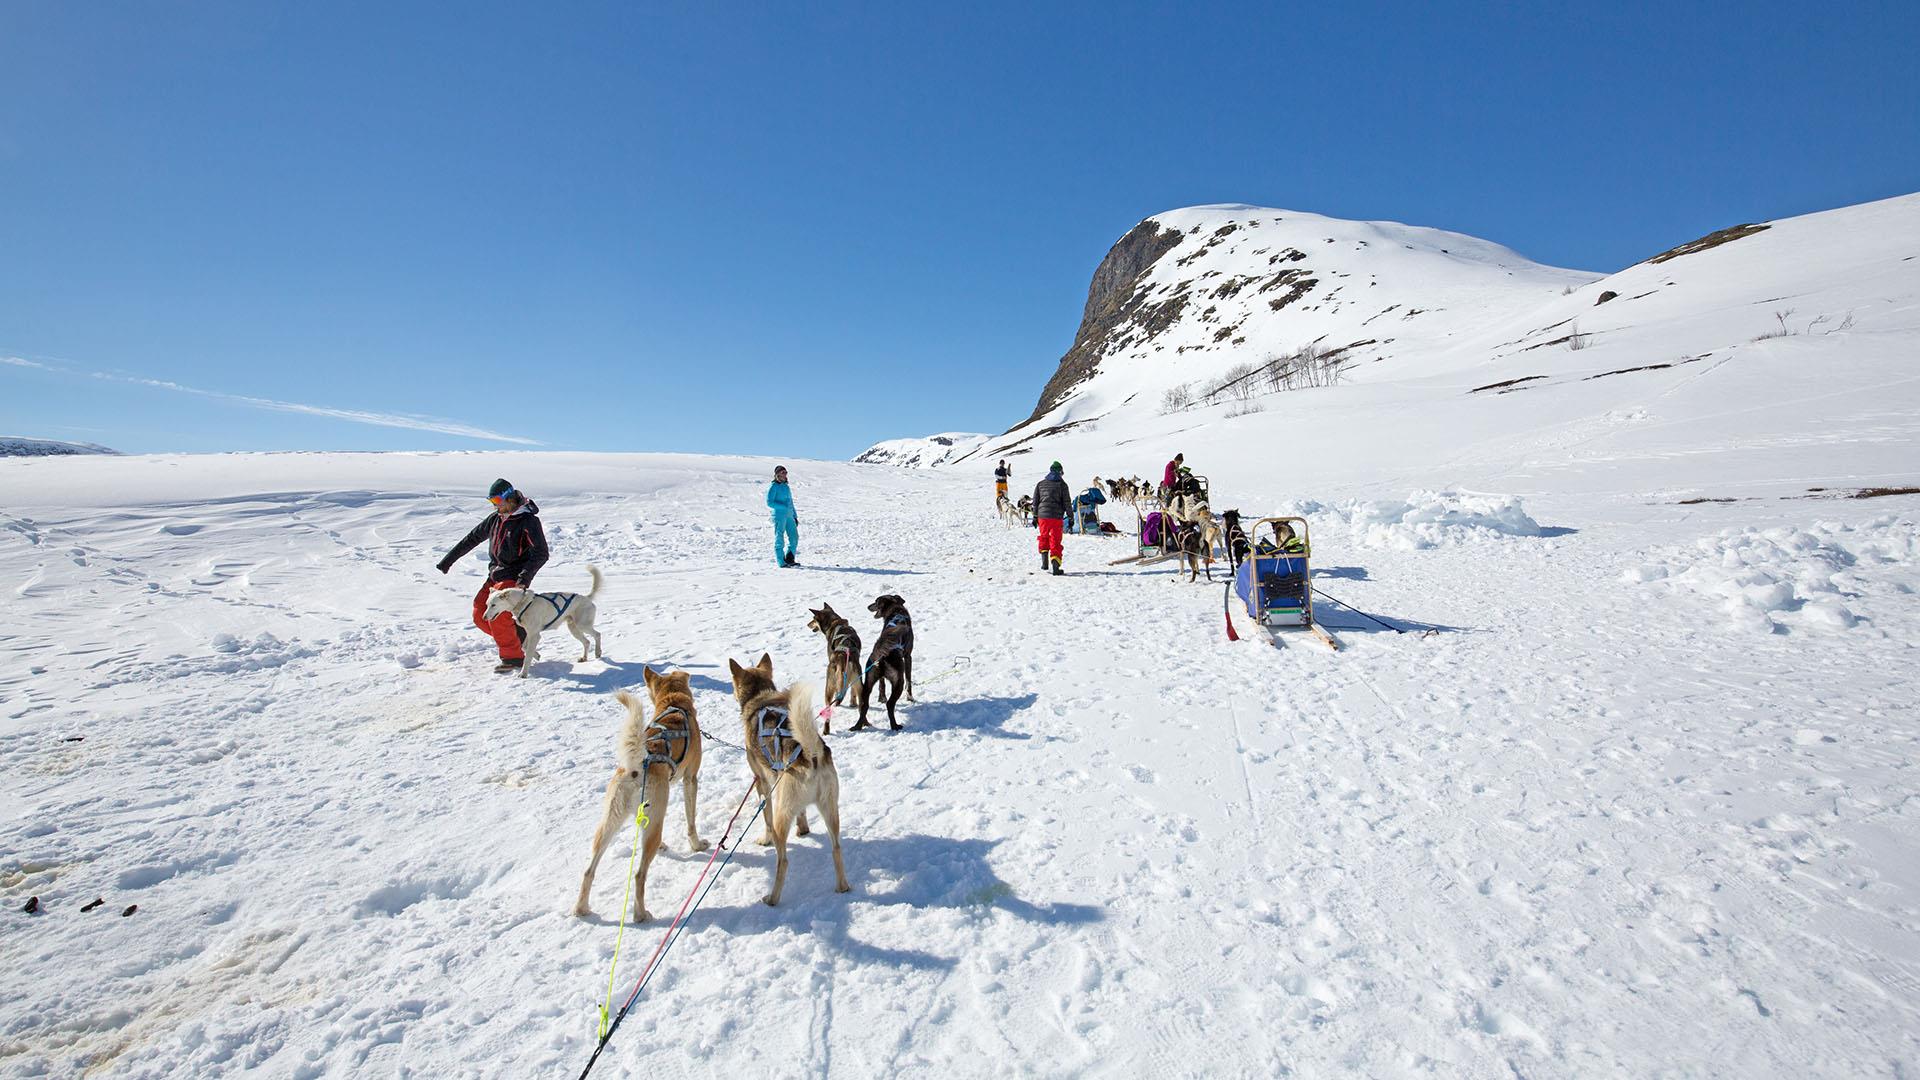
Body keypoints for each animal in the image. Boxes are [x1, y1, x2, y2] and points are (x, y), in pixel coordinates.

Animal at [579, 664, 718, 914]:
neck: (673, 704)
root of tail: (636, 766)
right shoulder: (690, 779)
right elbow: (691, 820)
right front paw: (697, 845)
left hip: (610, 823)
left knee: (589, 870)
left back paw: (581, 908)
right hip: (653, 814)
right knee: (639, 874)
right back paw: (641, 914)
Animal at [725, 653, 848, 903]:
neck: (760, 697)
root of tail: (810, 754)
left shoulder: (763, 784)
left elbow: (765, 817)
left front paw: (765, 839)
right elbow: (802, 815)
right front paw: (803, 829)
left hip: (782, 816)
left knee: (783, 860)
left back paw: (772, 898)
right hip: (831, 811)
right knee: (836, 849)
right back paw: (842, 887)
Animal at [856, 591, 913, 726]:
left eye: (876, 602)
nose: (868, 606)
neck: (896, 610)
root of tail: (881, 655)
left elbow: (882, 684)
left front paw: (881, 697)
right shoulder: (908, 656)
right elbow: (909, 679)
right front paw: (910, 697)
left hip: (868, 682)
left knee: (864, 705)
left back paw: (858, 726)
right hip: (898, 681)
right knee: (890, 704)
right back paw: (895, 726)